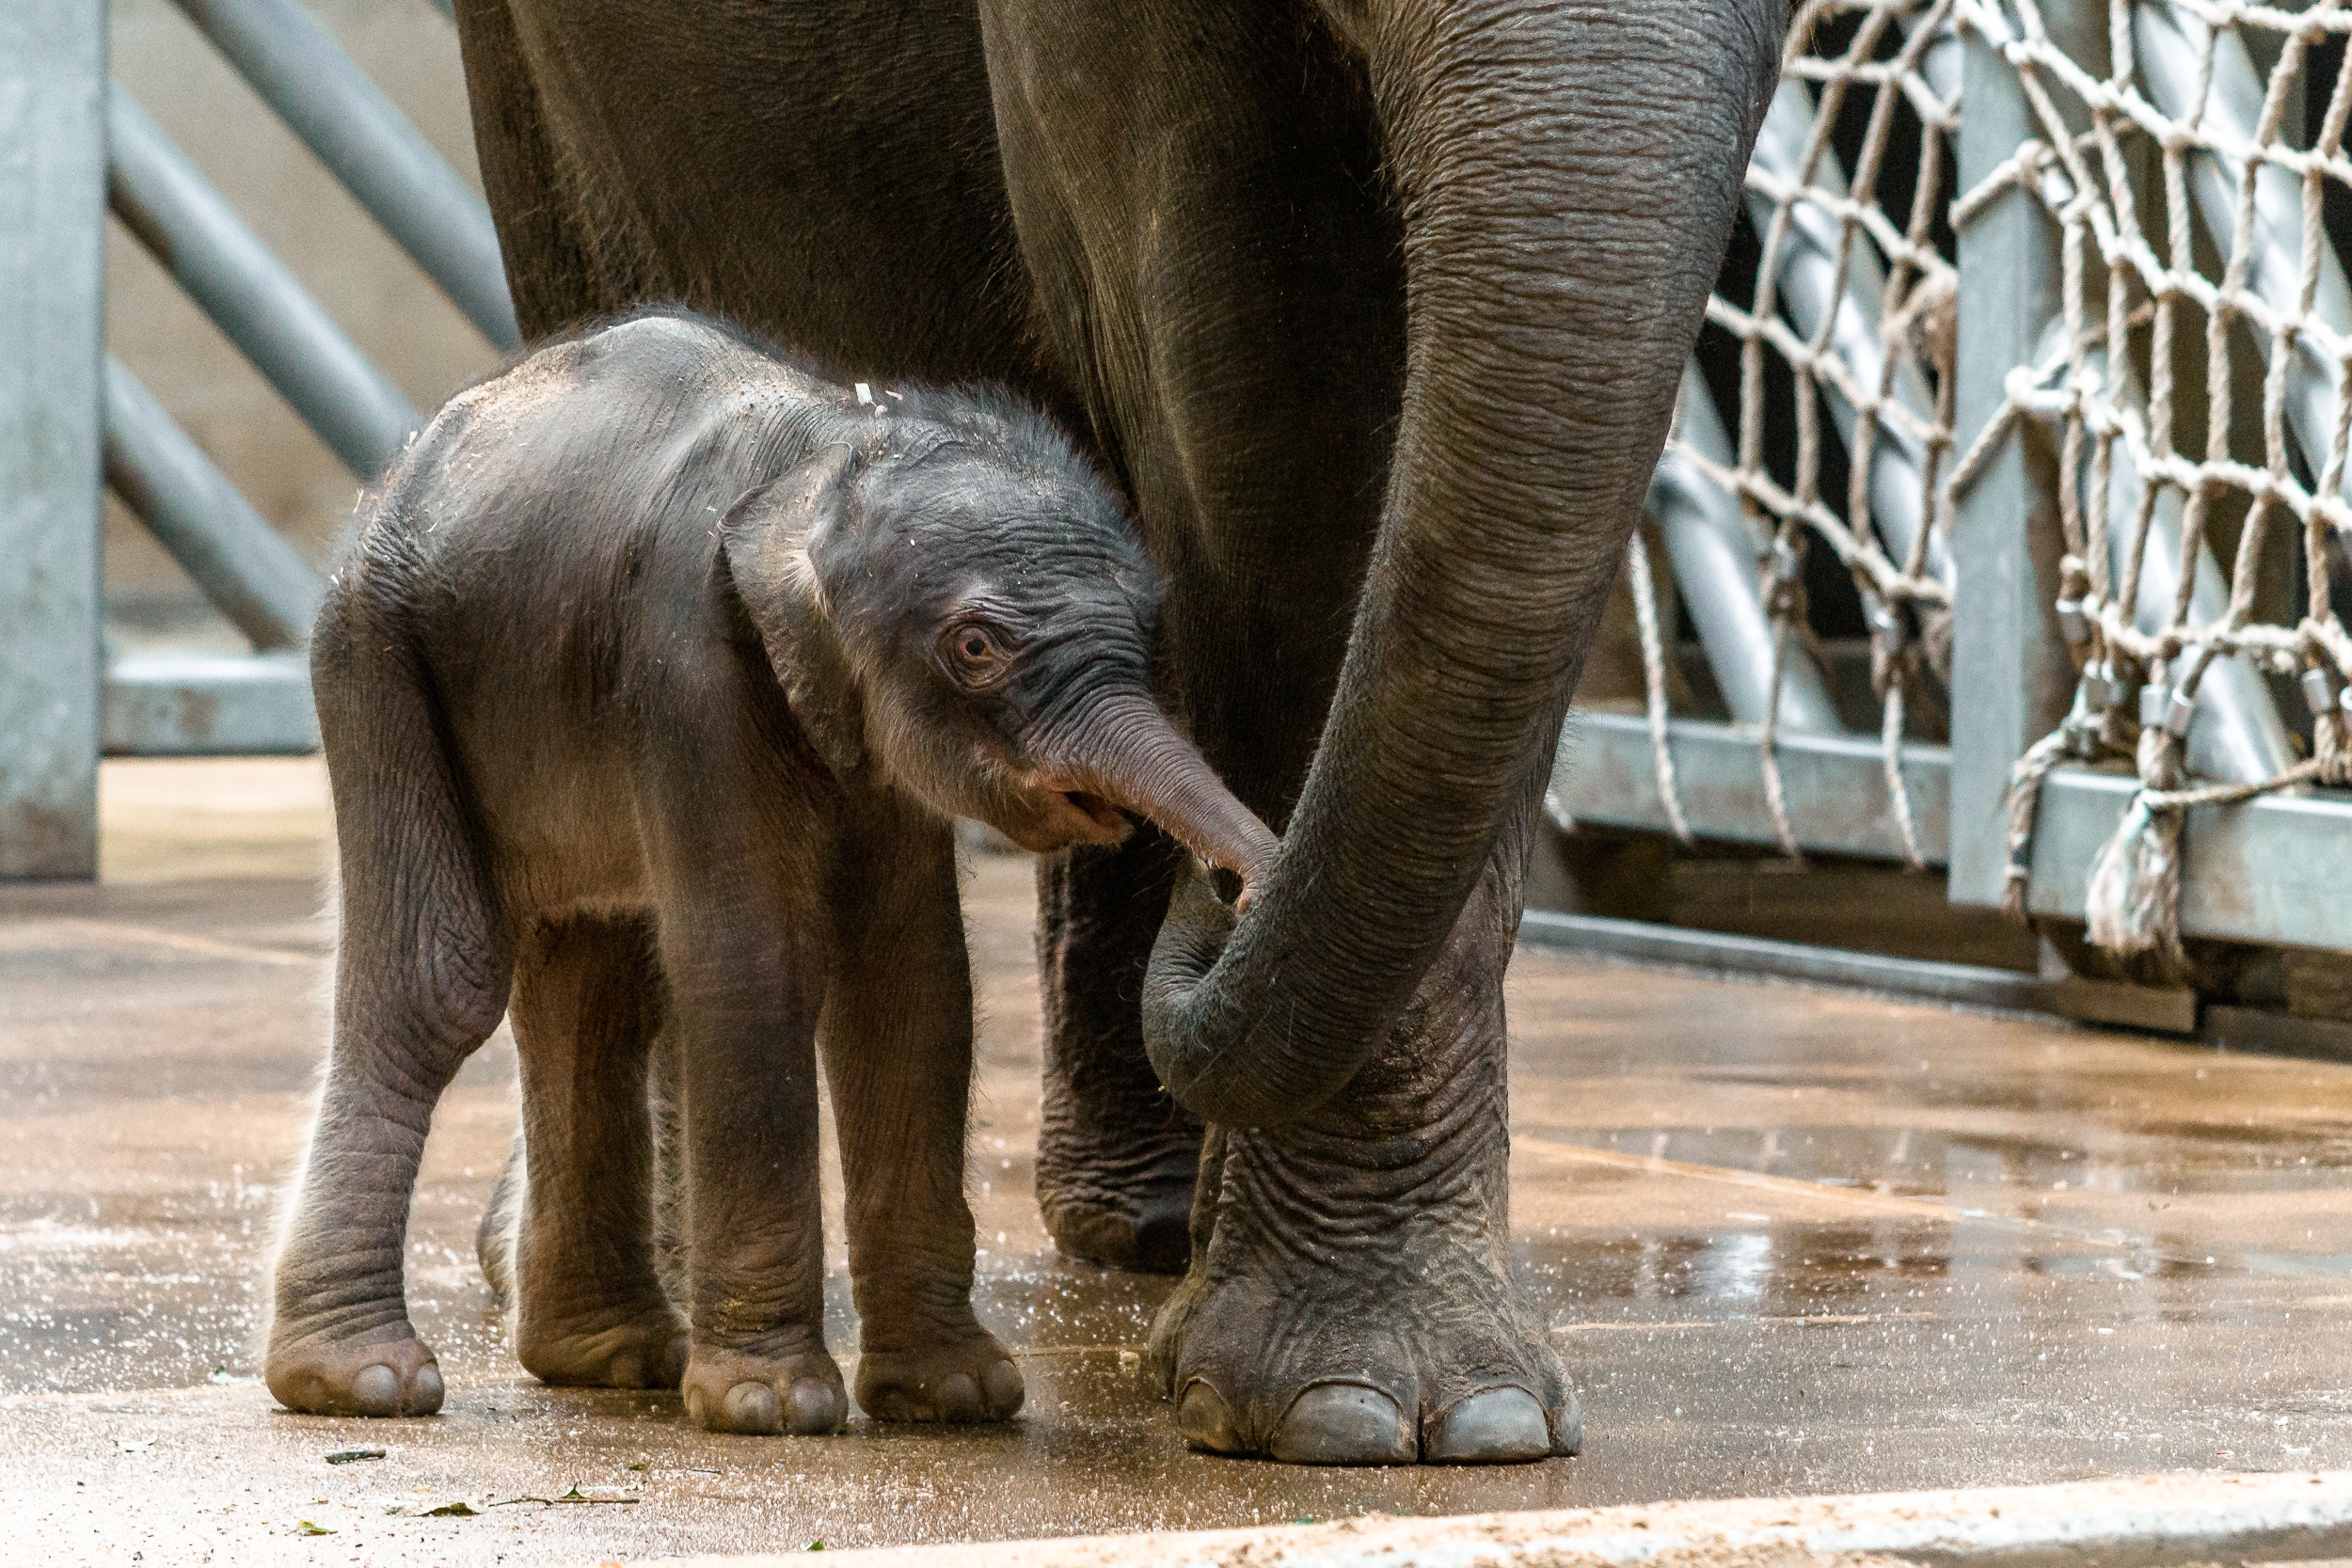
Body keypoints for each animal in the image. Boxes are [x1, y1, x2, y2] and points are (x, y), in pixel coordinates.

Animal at [266, 312, 1279, 1438]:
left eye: (1147, 628)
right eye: (975, 645)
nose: (1227, 880)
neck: (832, 451)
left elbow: (911, 984)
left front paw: (954, 1397)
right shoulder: (689, 669)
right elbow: (755, 968)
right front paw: (772, 1405)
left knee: (593, 994)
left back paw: (610, 1360)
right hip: (375, 658)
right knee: (436, 981)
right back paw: (364, 1382)